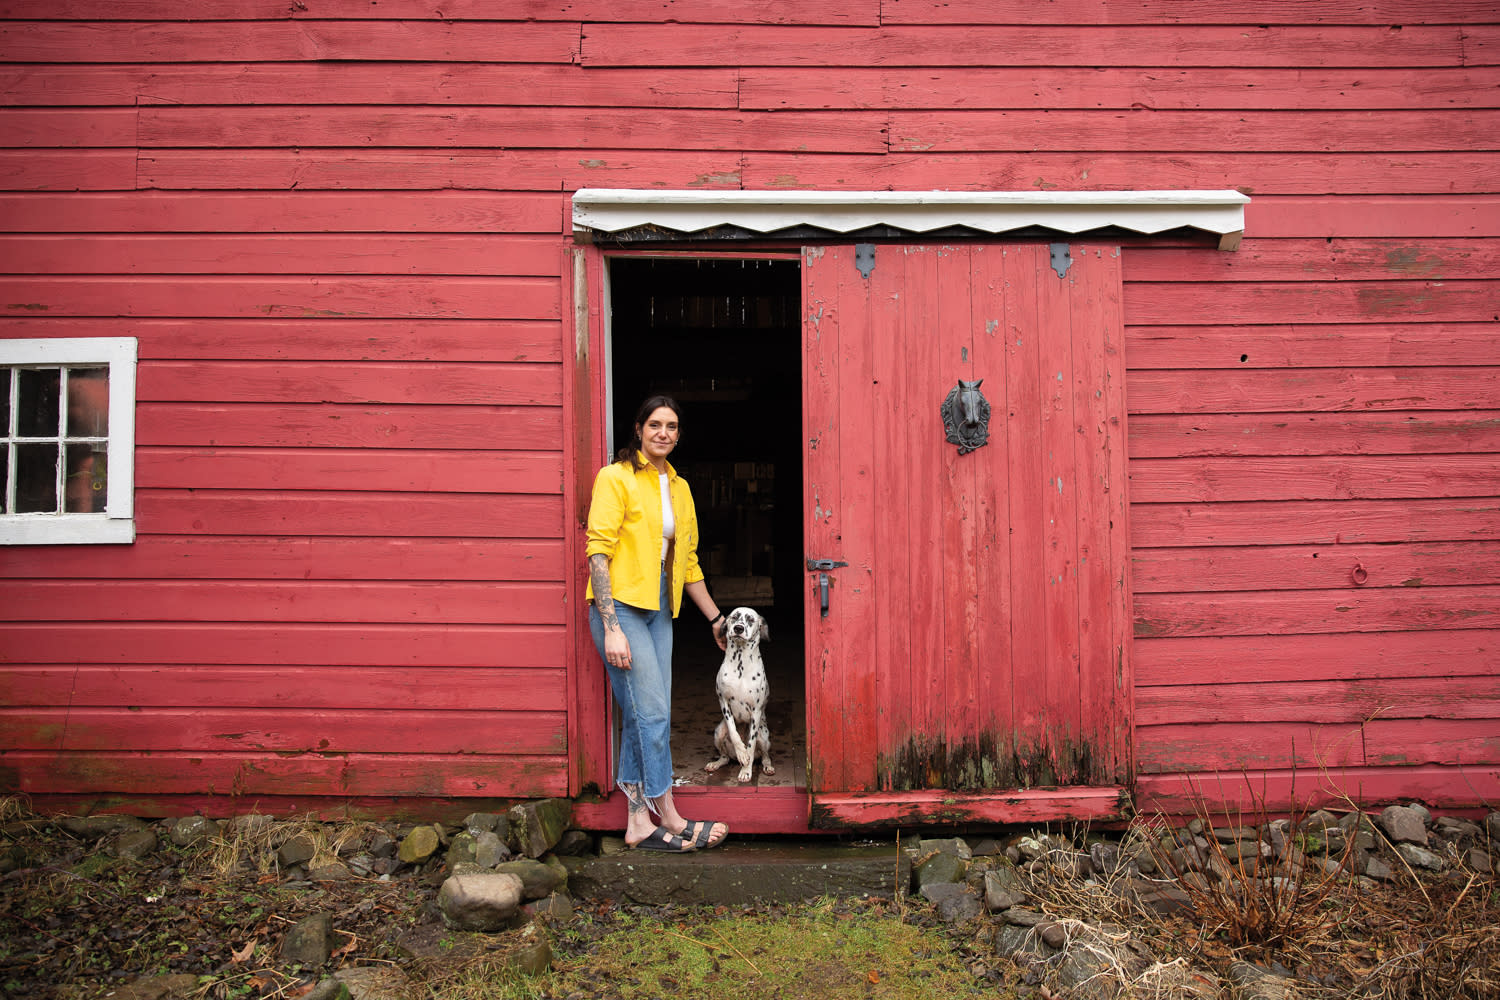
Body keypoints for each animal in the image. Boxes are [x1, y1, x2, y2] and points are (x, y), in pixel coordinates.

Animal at [702, 605, 774, 785]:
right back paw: (717, 763)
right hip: (718, 732)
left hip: (763, 734)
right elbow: (735, 733)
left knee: (764, 755)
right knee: (725, 757)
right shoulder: (724, 702)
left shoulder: (756, 712)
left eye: (751, 619)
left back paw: (768, 766)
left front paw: (746, 771)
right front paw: (741, 751)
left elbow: (751, 745)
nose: (738, 628)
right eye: (734, 617)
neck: (740, 663)